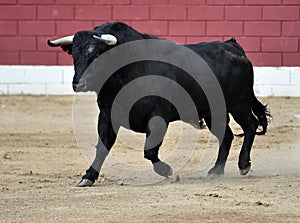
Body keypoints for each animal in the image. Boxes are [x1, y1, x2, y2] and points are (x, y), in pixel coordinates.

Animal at [47, 22, 270, 186]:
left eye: (96, 54)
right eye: (74, 55)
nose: (79, 83)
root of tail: (234, 47)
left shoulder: (158, 116)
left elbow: (150, 151)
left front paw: (167, 170)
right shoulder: (107, 116)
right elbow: (102, 147)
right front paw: (88, 177)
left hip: (239, 103)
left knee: (250, 125)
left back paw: (243, 164)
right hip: (213, 111)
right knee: (227, 135)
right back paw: (216, 170)